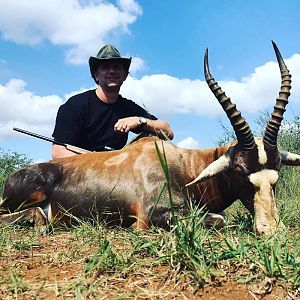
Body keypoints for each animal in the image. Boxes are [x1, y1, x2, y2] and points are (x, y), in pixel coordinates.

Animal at [0, 42, 300, 236]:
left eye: (277, 170)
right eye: (239, 169)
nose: (270, 229)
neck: (181, 164)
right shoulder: (152, 214)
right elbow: (218, 220)